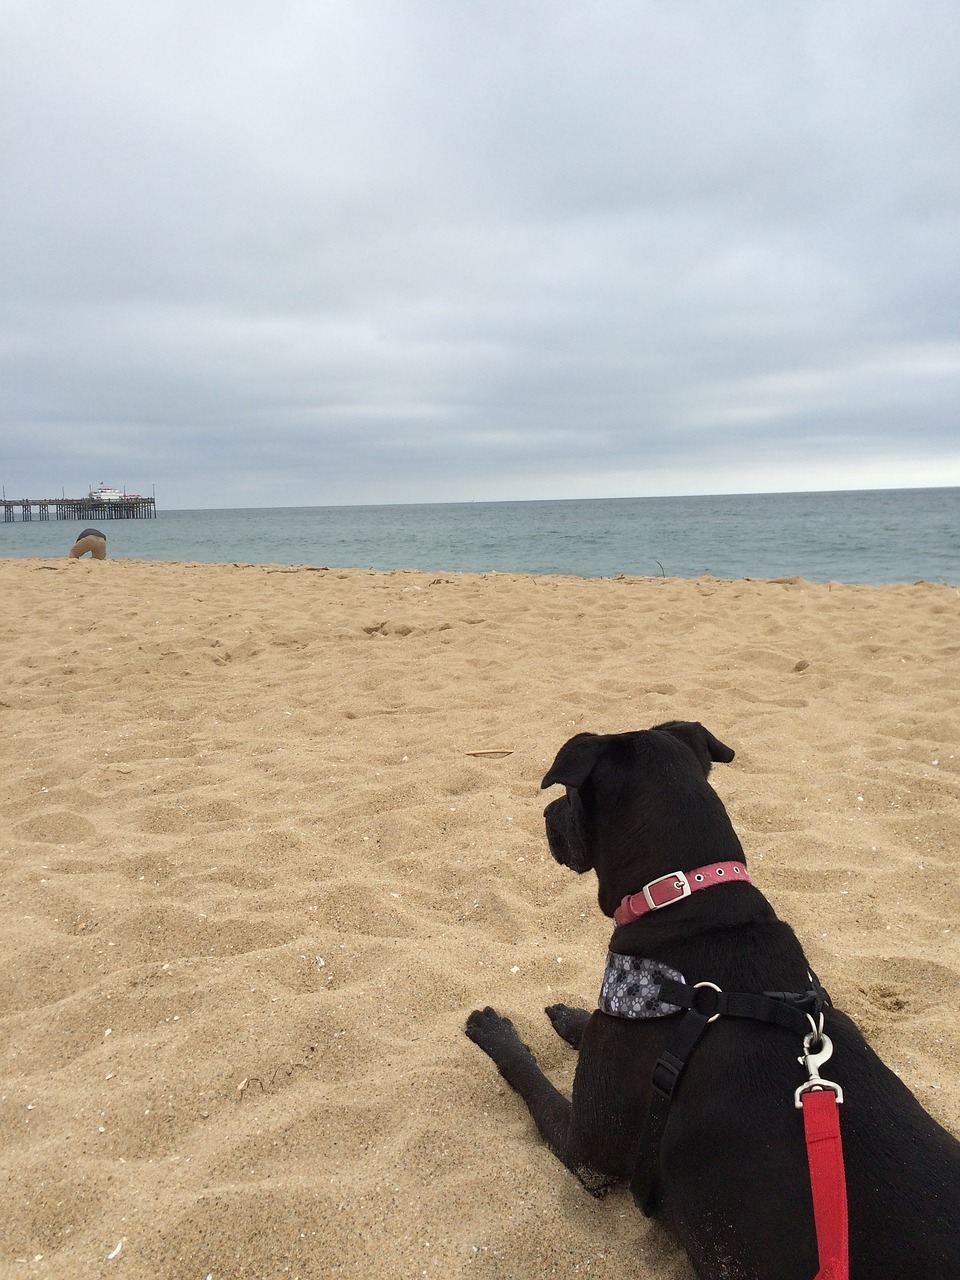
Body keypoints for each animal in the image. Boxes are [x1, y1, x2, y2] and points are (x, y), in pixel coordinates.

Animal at [465, 727, 960, 1274]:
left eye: (570, 795)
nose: (546, 815)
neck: (689, 903)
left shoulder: (587, 1154)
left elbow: (527, 1076)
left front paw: (493, 1031)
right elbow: (588, 1023)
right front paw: (568, 1018)